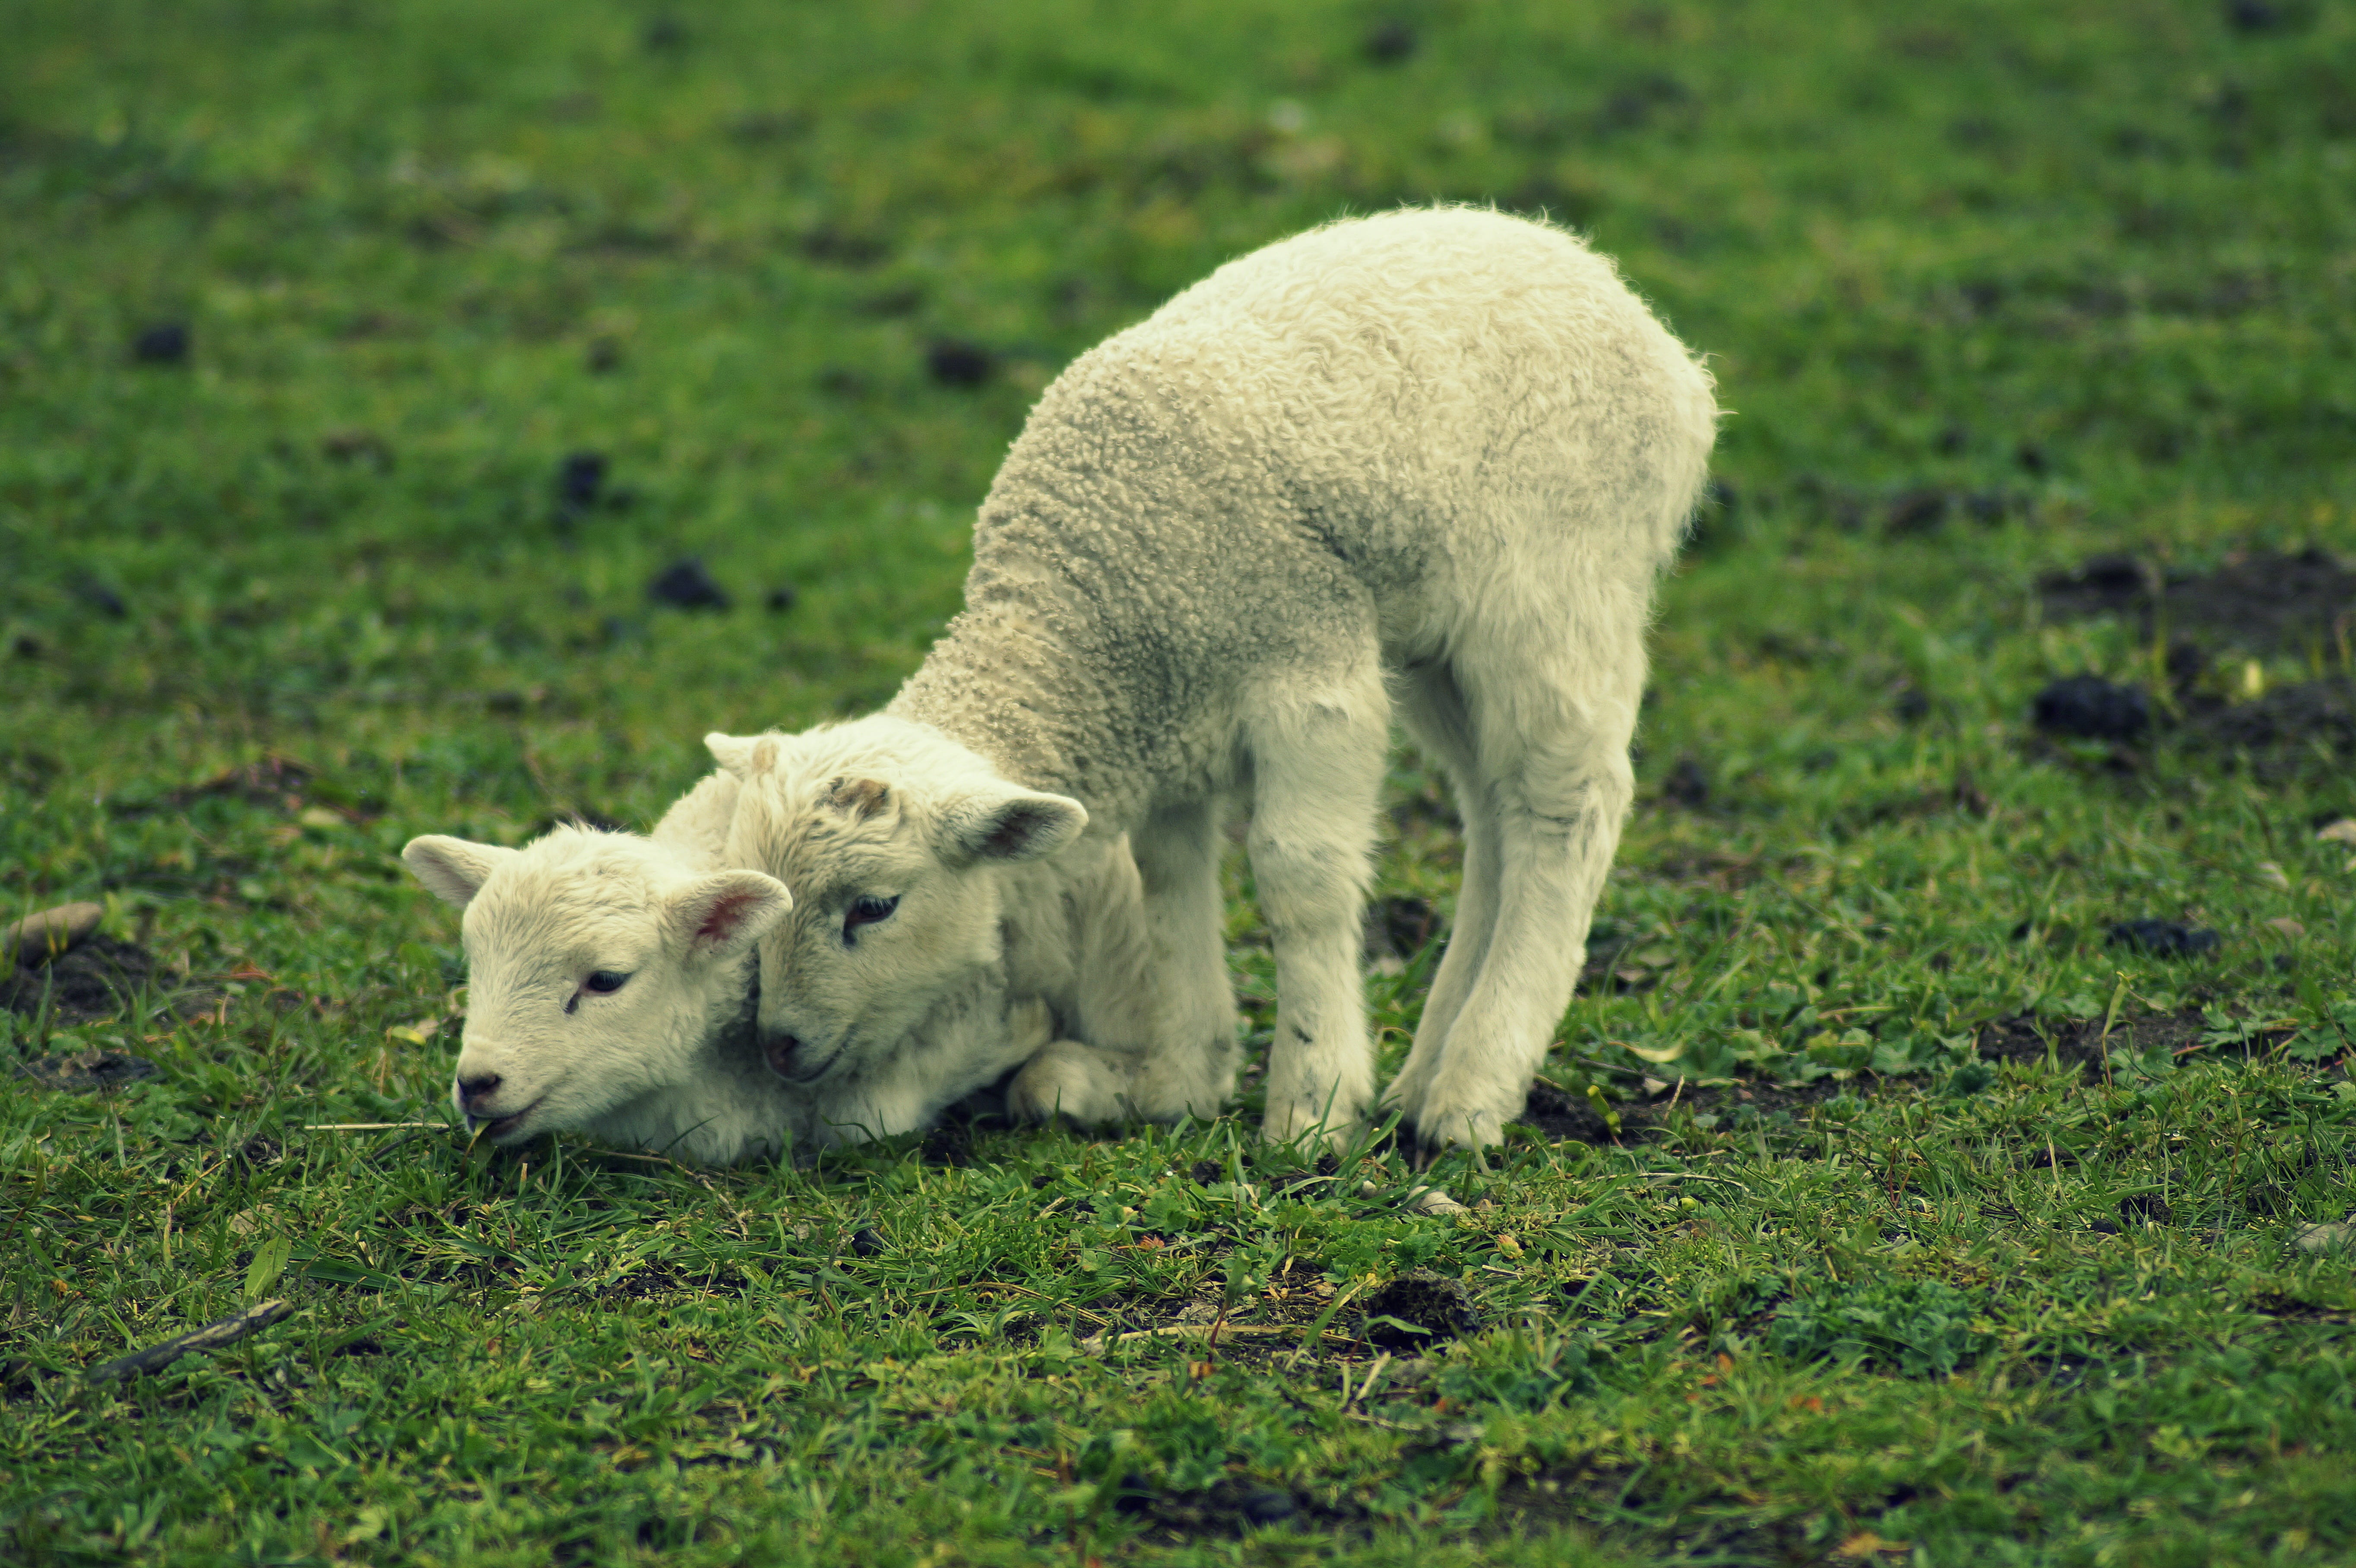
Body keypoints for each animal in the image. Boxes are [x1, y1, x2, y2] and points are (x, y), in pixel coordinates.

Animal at [711, 205, 1717, 1153]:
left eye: (875, 908)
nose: (779, 1046)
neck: (1086, 614)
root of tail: (1631, 308)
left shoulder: (1311, 671)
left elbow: (1299, 878)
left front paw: (1312, 1107)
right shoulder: (1171, 728)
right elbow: (1172, 886)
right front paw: (1183, 1078)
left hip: (1558, 588)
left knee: (1565, 805)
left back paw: (1472, 1087)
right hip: (1438, 641)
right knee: (1492, 814)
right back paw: (1425, 1074)